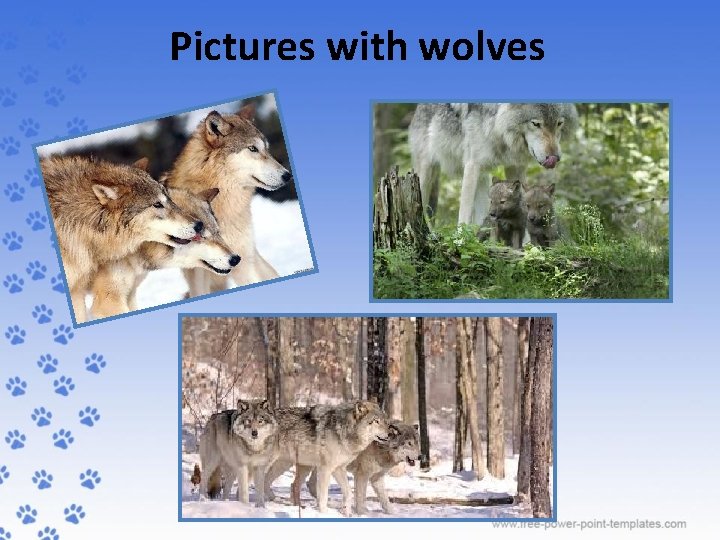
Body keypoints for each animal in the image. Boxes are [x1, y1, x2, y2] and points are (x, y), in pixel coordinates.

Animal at [409, 103, 577, 224]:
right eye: (536, 123)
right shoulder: (472, 165)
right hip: (425, 175)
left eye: (559, 123)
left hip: (484, 179)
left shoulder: (515, 167)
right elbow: (463, 217)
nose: (554, 157)